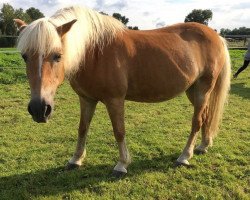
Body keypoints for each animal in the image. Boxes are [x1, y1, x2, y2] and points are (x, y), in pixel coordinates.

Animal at [14, 5, 230, 177]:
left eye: (57, 55)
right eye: (25, 56)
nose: (39, 109)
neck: (94, 51)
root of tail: (216, 36)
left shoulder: (115, 100)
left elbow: (119, 131)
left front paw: (121, 165)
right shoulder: (86, 99)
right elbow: (82, 128)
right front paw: (75, 160)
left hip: (203, 89)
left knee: (196, 121)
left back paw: (184, 156)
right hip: (193, 91)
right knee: (206, 116)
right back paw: (203, 146)